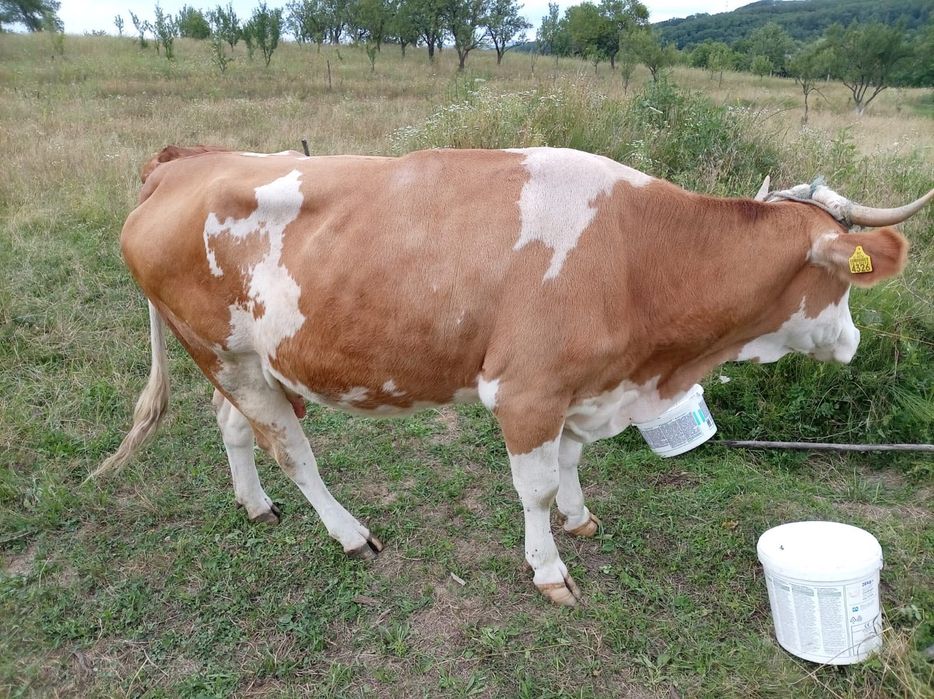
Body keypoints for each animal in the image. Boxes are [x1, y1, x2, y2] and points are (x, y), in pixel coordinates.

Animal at [95, 145, 931, 605]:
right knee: (290, 448)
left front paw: (579, 515)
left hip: (246, 359)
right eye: (842, 281)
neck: (638, 254)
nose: (853, 341)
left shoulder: (582, 386)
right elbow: (532, 485)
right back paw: (349, 533)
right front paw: (549, 568)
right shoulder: (528, 389)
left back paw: (255, 505)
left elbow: (571, 459)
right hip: (226, 355)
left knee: (235, 426)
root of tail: (186, 162)